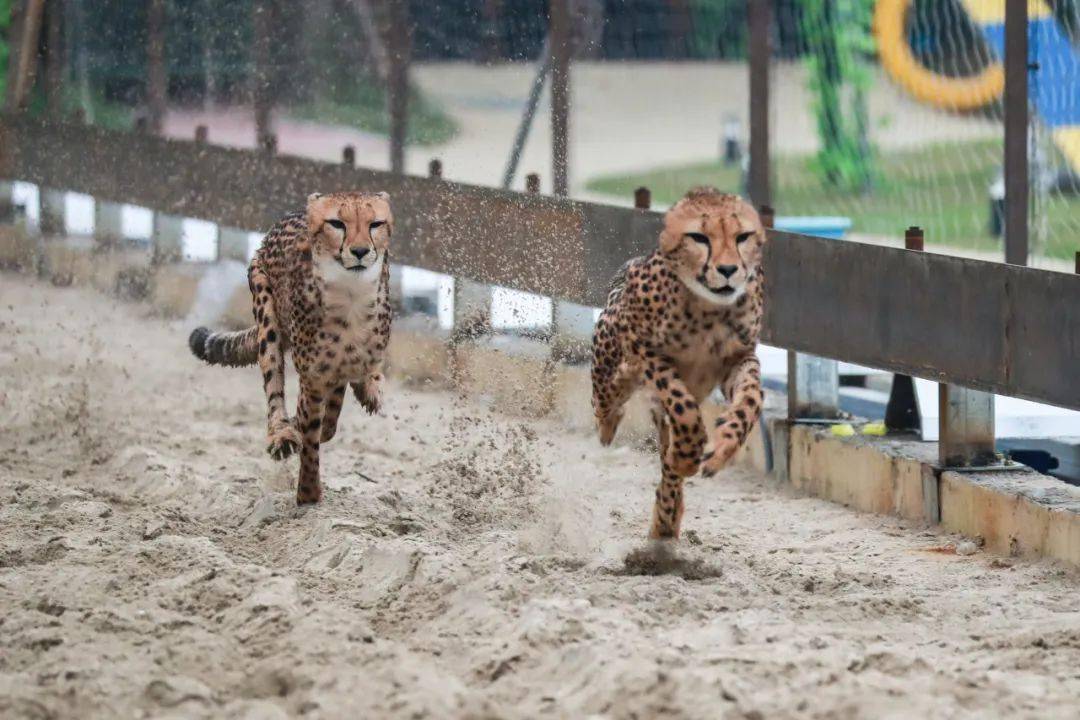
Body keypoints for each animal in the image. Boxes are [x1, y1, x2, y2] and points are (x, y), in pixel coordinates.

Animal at [189, 191, 393, 507]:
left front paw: (369, 388)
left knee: (330, 419)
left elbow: (336, 407)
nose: (359, 251)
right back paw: (282, 436)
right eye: (337, 223)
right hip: (266, 313)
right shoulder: (313, 377)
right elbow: (311, 437)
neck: (350, 296)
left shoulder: (345, 364)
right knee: (275, 389)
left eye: (375, 224)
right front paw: (307, 493)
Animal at [591, 188, 768, 537]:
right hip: (609, 346)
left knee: (666, 465)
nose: (728, 270)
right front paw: (689, 454)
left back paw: (666, 520)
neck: (708, 308)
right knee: (605, 396)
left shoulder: (738, 358)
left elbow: (750, 400)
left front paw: (722, 448)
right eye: (699, 237)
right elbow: (682, 404)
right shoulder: (643, 348)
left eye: (742, 236)